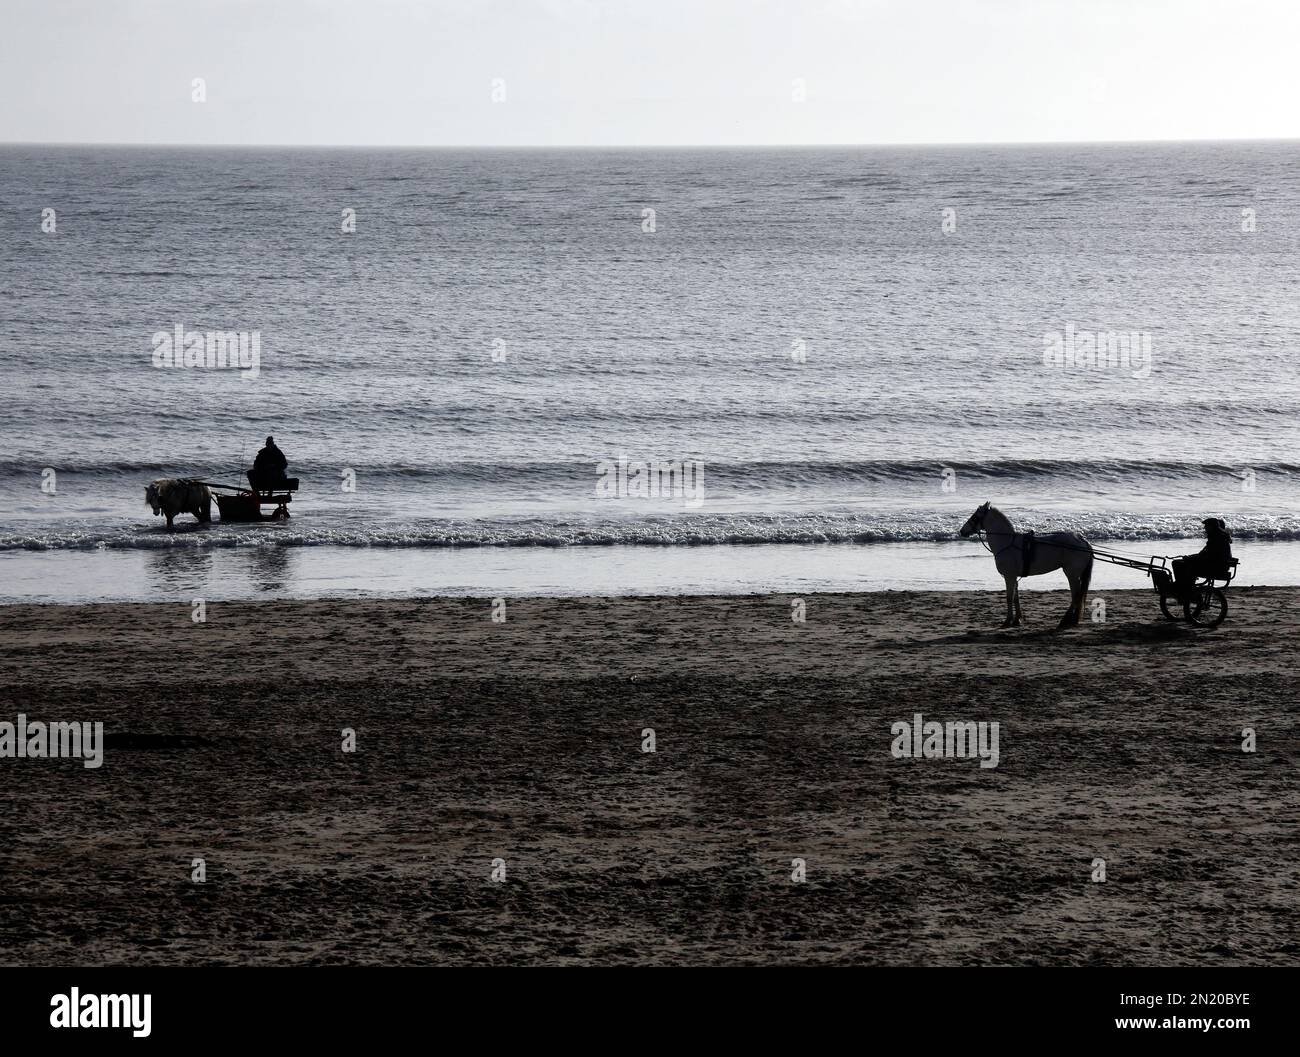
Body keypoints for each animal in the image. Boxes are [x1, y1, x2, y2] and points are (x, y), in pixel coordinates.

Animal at [961, 501, 1092, 626]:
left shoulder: (1009, 576)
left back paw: (1066, 620)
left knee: (1076, 595)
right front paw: (1017, 619)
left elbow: (1009, 598)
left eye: (975, 517)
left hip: (1071, 574)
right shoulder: (1013, 577)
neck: (1007, 543)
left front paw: (1008, 620)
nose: (962, 531)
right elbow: (1015, 598)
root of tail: (1082, 540)